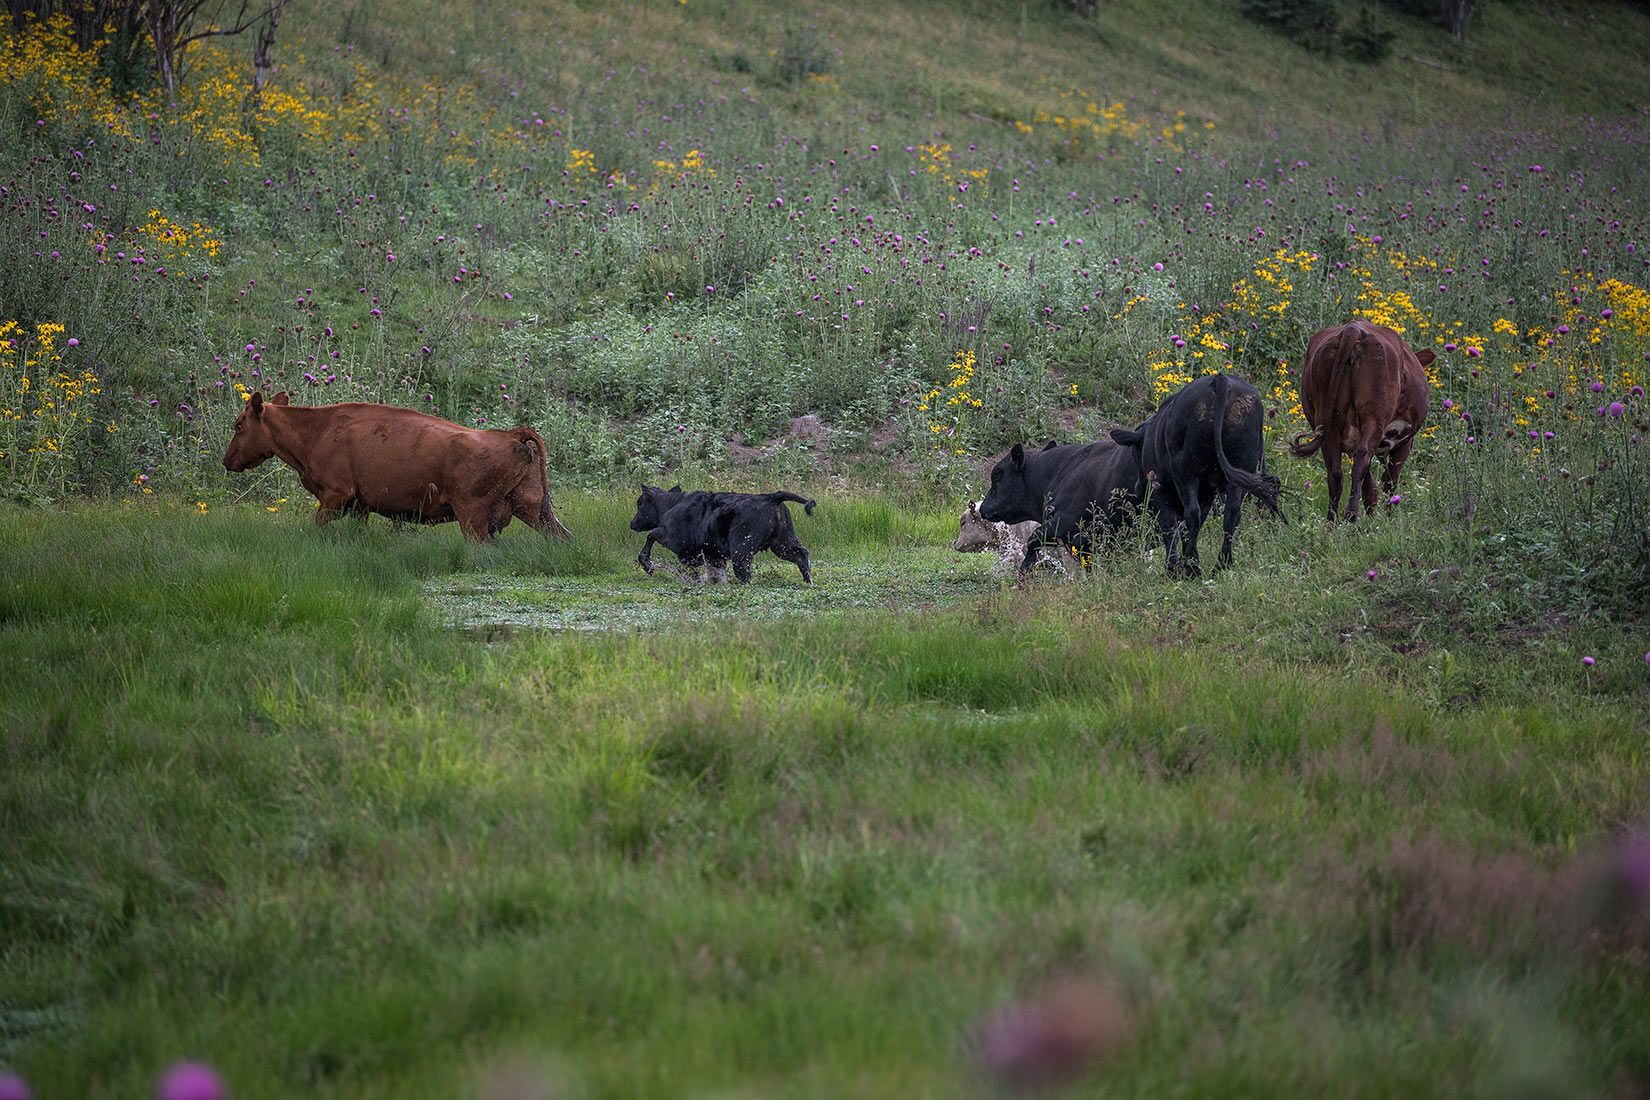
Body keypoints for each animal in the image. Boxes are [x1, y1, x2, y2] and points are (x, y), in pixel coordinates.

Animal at [222, 392, 572, 541]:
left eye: (239, 425)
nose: (227, 461)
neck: (317, 429)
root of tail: (509, 434)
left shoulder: (336, 494)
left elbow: (319, 523)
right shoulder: (359, 505)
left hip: (472, 515)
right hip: (534, 509)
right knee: (562, 535)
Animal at [629, 484, 815, 584]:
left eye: (640, 504)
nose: (632, 523)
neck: (671, 504)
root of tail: (771, 497)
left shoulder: (671, 538)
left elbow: (651, 535)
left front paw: (648, 566)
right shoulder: (712, 554)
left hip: (742, 549)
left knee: (744, 574)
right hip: (782, 543)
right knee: (801, 554)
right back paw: (809, 580)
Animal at [1109, 372, 1282, 576]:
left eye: (1135, 451)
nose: (1138, 487)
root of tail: (1220, 380)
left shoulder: (1160, 490)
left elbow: (1170, 527)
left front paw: (1173, 568)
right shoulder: (1207, 493)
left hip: (1186, 472)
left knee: (1192, 513)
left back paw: (1192, 568)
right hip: (1241, 468)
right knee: (1231, 512)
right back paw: (1221, 565)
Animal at [1289, 320, 1433, 522]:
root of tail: (1353, 329)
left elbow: (1370, 483)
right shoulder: (1404, 442)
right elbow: (1389, 480)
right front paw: (1388, 518)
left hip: (1327, 423)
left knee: (1335, 472)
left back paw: (1331, 521)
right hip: (1373, 416)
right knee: (1361, 460)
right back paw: (1351, 514)